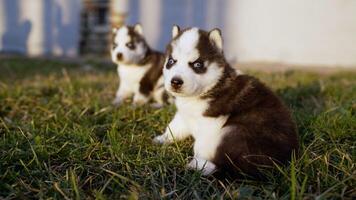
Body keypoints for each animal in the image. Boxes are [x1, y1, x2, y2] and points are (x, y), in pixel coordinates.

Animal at [154, 25, 298, 177]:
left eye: (197, 64)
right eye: (171, 61)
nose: (175, 82)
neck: (209, 88)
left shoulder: (211, 124)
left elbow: (200, 145)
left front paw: (200, 161)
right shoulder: (184, 114)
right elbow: (174, 127)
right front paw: (162, 139)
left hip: (233, 132)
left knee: (227, 163)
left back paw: (200, 166)